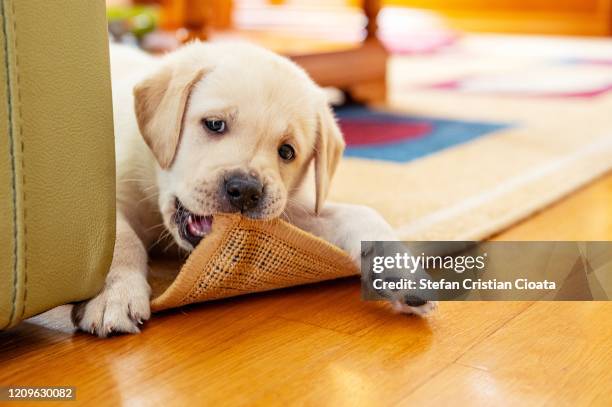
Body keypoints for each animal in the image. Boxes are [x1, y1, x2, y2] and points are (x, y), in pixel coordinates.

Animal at [73, 40, 436, 338]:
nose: (245, 190)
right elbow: (120, 241)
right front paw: (115, 295)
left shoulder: (288, 212)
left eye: (287, 151)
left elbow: (363, 214)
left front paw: (401, 272)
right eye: (214, 124)